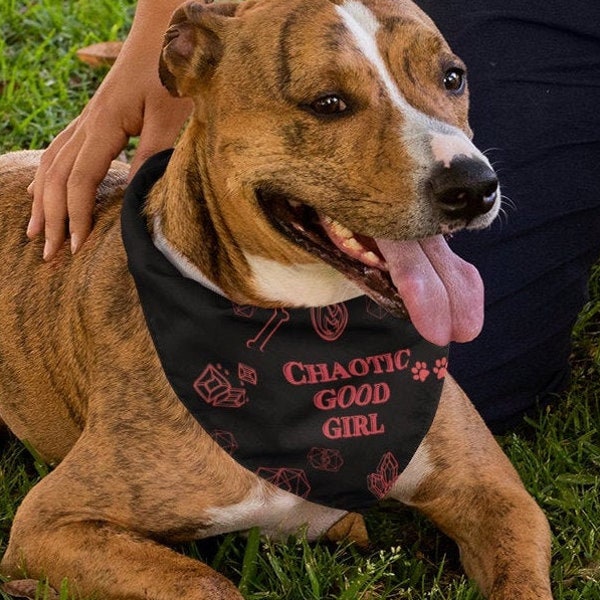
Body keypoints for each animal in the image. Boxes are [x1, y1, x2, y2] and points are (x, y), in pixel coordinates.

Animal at [0, 0, 552, 596]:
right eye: (328, 103)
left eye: (452, 78)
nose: (474, 186)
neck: (308, 334)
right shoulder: (51, 521)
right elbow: (204, 583)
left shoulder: (495, 494)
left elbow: (521, 580)